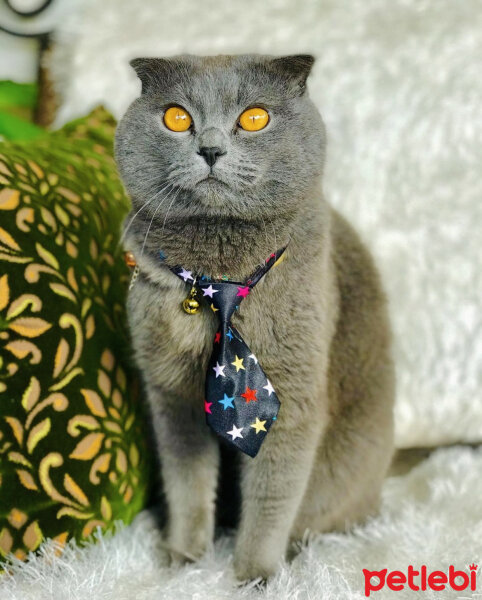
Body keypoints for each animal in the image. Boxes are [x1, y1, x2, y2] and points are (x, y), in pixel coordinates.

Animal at [115, 55, 394, 580]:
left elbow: (271, 496)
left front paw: (254, 574)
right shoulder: (170, 393)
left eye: (254, 117)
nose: (210, 148)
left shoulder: (294, 397)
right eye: (176, 117)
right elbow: (186, 483)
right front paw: (184, 558)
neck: (220, 278)